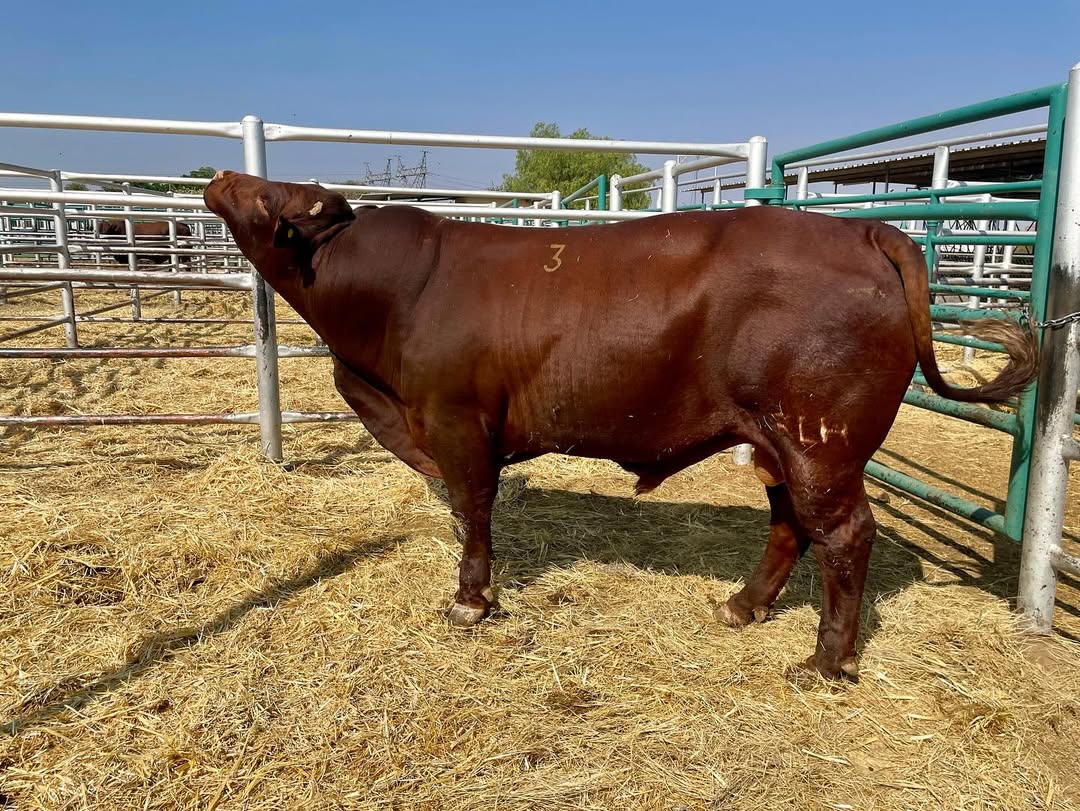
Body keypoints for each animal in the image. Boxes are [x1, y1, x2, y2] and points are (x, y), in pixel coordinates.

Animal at [204, 170, 1037, 681]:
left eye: (274, 193)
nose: (219, 177)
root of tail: (867, 233)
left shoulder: (456, 423)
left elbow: (474, 511)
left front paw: (472, 599)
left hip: (819, 444)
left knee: (845, 535)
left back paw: (825, 662)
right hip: (776, 441)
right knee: (789, 526)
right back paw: (742, 606)